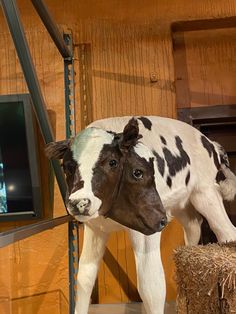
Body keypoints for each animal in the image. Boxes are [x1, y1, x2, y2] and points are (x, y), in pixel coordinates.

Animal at [45, 116, 236, 314]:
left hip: (206, 194)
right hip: (182, 205)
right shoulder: (95, 228)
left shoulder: (147, 227)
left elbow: (151, 285)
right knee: (192, 228)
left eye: (112, 162)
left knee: (226, 231)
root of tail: (210, 143)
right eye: (67, 166)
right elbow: (85, 278)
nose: (79, 202)